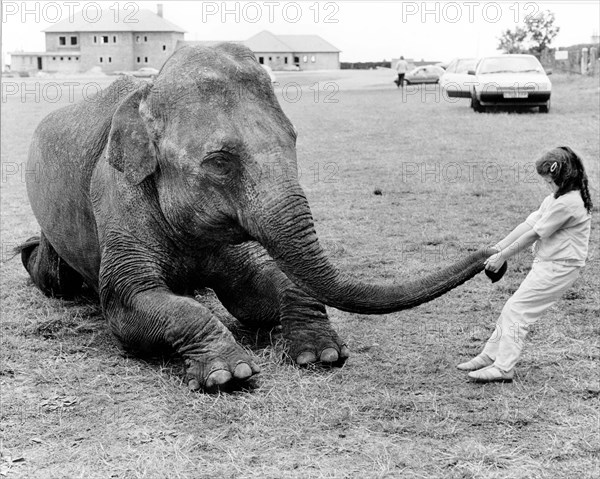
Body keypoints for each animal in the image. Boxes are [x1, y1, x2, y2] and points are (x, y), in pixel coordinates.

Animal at [19, 43, 492, 392]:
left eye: (294, 138)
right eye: (220, 161)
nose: (491, 261)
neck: (147, 93)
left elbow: (253, 293)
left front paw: (322, 354)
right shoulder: (116, 197)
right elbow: (125, 300)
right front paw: (229, 374)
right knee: (55, 278)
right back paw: (26, 251)